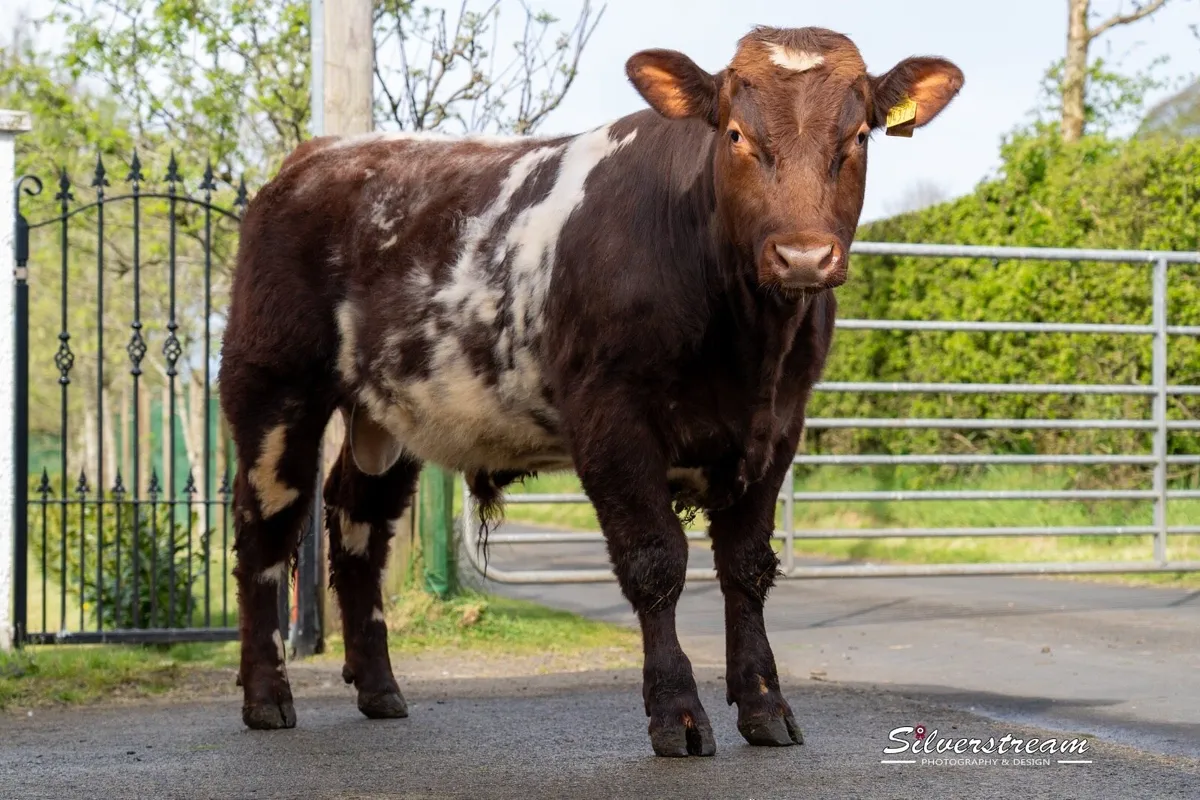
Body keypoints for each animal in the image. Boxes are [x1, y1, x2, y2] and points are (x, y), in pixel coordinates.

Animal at [218, 25, 962, 757]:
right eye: (736, 135)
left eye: (858, 137)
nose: (803, 255)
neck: (748, 344)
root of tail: (320, 154)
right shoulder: (611, 418)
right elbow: (655, 560)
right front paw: (677, 714)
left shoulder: (778, 427)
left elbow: (747, 566)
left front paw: (765, 706)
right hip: (272, 385)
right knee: (266, 528)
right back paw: (267, 697)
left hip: (391, 411)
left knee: (358, 527)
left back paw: (378, 688)